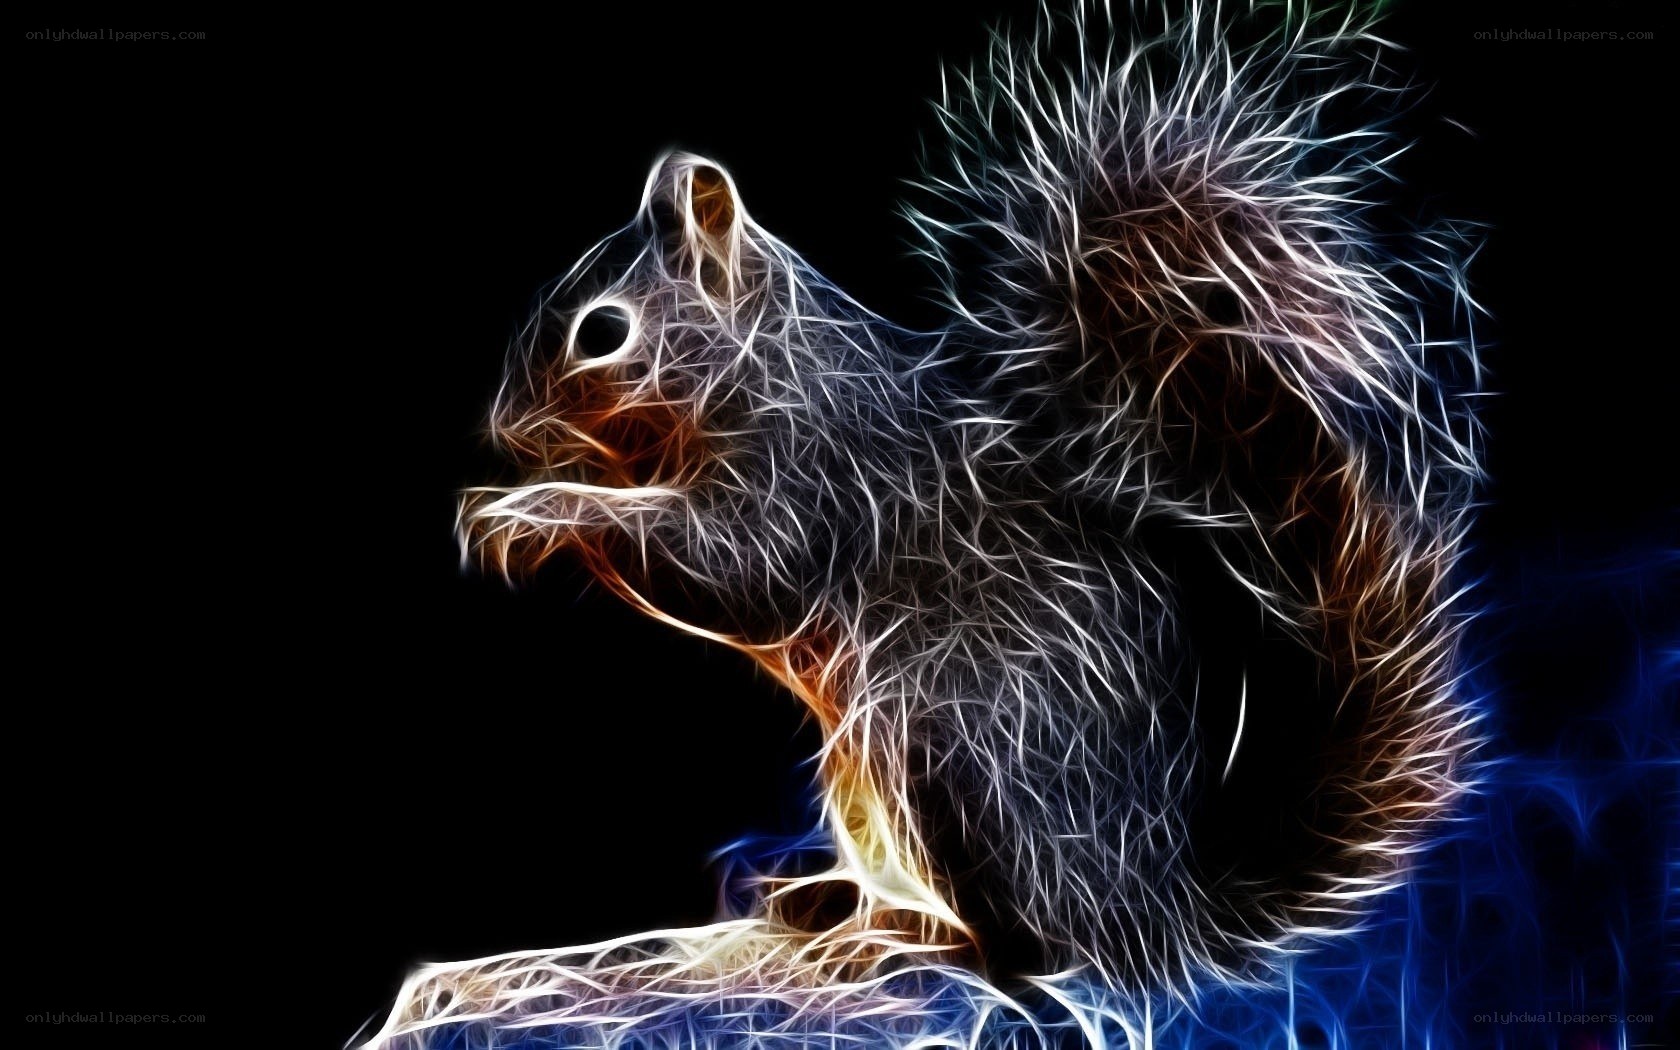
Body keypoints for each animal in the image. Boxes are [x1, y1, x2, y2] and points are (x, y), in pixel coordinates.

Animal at [373, 2, 1483, 1046]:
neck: (763, 365)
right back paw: (832, 901)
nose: (503, 429)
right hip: (866, 776)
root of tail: (1155, 913)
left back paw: (900, 941)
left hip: (951, 754)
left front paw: (537, 507)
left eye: (602, 332)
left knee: (1029, 957)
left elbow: (734, 569)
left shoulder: (816, 471)